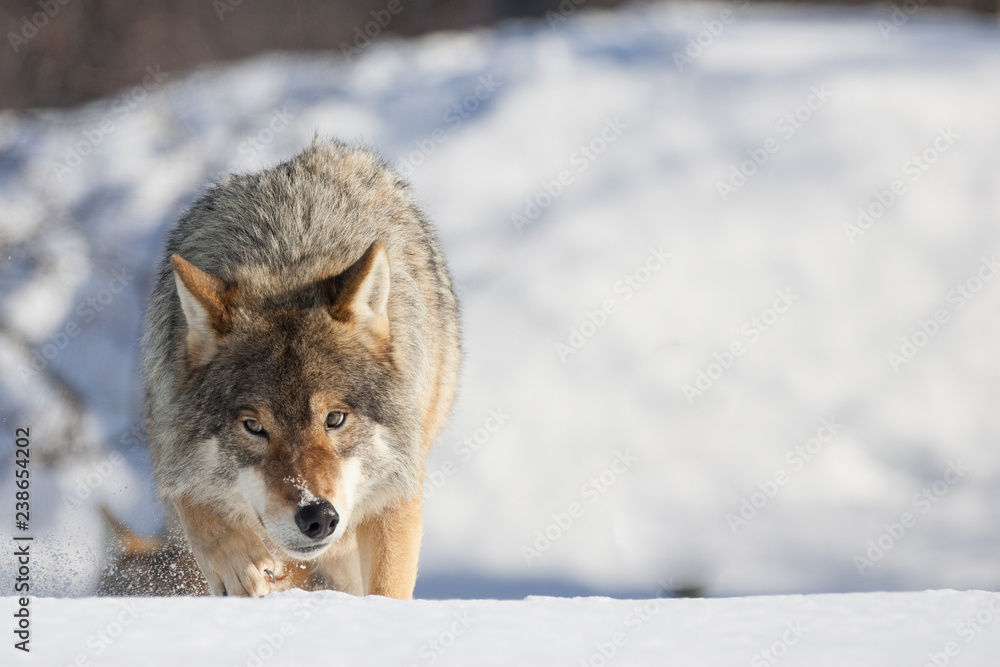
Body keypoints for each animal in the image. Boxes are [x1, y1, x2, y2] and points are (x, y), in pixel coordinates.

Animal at [142, 141, 461, 598]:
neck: (287, 259)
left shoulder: (395, 485)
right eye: (254, 427)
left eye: (335, 419)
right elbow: (196, 503)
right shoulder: (168, 430)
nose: (318, 517)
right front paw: (238, 564)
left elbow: (387, 588)